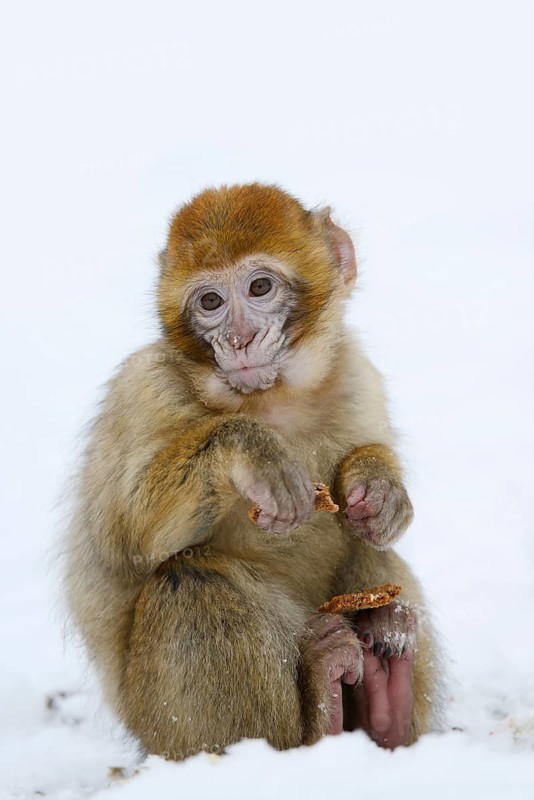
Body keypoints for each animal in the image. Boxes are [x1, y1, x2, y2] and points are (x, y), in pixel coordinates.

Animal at [63, 183, 443, 759]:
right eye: (211, 302)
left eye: (259, 287)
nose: (239, 340)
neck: (271, 402)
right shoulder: (143, 389)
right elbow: (125, 539)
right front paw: (253, 452)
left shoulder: (356, 375)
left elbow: (369, 488)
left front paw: (379, 487)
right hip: (164, 730)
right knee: (190, 582)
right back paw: (321, 714)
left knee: (368, 550)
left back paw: (386, 701)